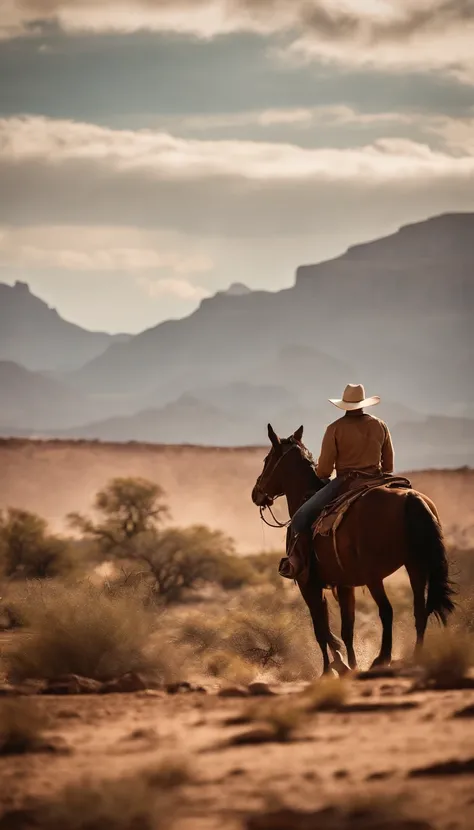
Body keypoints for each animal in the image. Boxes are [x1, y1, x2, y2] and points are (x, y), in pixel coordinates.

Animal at [252, 422, 456, 676]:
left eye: (267, 459)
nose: (256, 493)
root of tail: (411, 498)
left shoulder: (307, 583)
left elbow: (321, 628)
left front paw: (331, 668)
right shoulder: (344, 584)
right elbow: (346, 628)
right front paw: (350, 664)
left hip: (374, 575)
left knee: (387, 611)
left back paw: (382, 658)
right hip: (415, 565)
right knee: (420, 609)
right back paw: (416, 657)